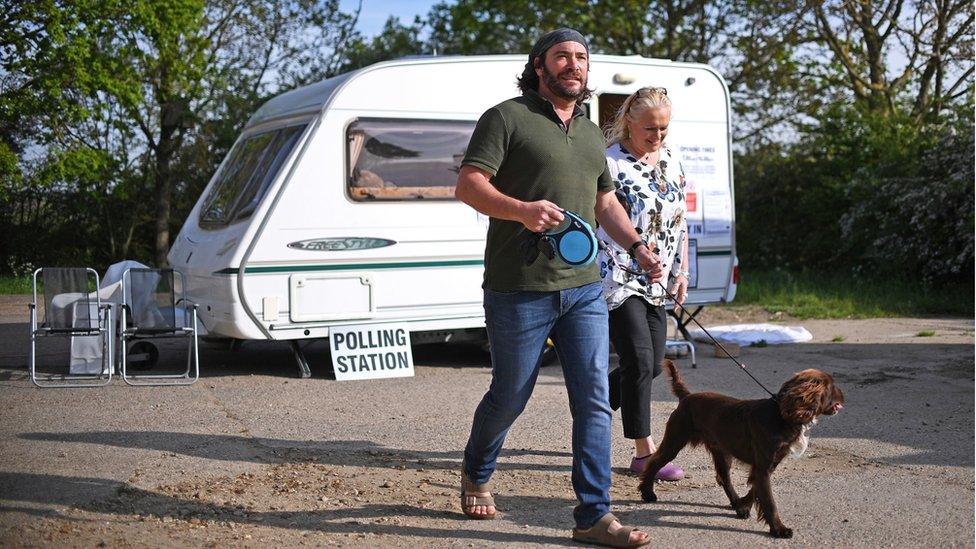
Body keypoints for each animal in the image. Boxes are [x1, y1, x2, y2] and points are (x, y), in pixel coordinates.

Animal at [636, 358, 844, 536]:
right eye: (832, 386)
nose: (844, 397)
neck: (781, 414)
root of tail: (686, 397)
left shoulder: (768, 465)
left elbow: (756, 490)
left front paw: (743, 505)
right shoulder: (763, 466)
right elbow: (769, 500)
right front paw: (779, 529)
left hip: (722, 451)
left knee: (723, 478)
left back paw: (736, 502)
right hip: (675, 440)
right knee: (654, 463)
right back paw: (647, 492)